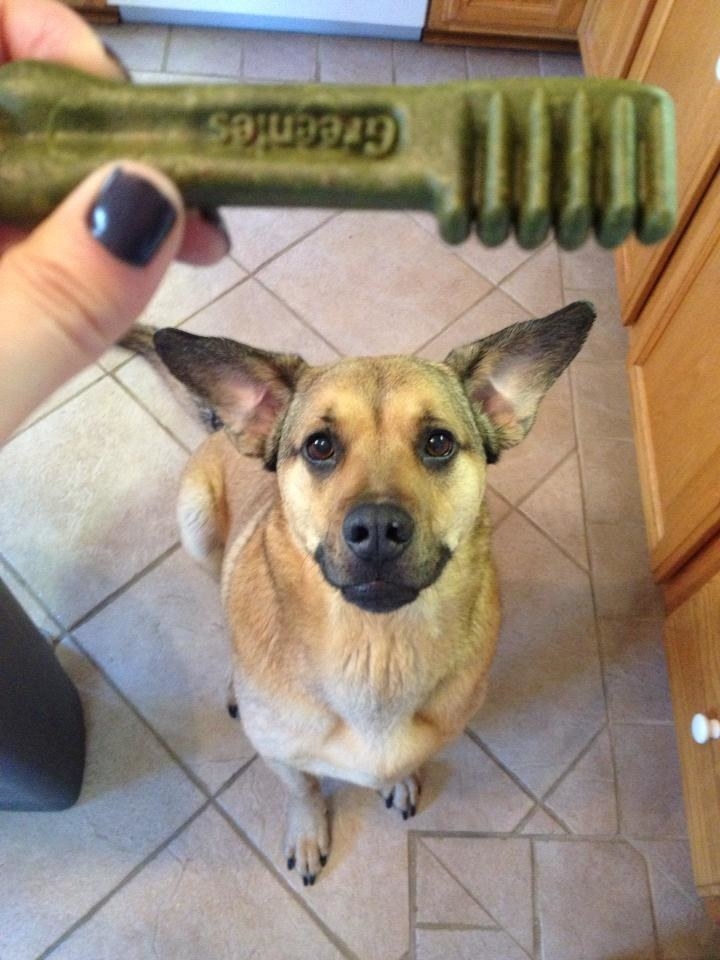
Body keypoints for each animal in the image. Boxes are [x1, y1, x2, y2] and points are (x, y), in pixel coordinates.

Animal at [125, 300, 596, 884]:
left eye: (438, 442)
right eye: (320, 446)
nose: (375, 529)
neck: (377, 648)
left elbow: (407, 761)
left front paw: (400, 780)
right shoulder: (281, 756)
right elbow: (303, 788)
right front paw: (308, 832)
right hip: (196, 525)